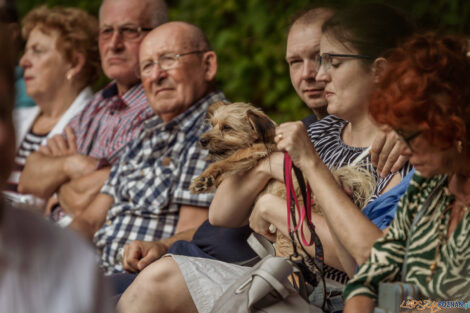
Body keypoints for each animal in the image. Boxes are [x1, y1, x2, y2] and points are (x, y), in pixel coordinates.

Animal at [191, 101, 374, 258]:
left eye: (227, 127)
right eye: (212, 124)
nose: (202, 140)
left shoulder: (257, 150)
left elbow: (231, 159)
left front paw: (204, 178)